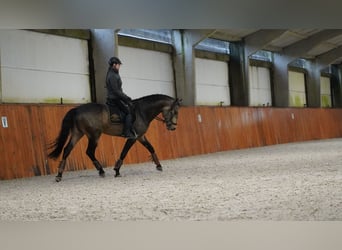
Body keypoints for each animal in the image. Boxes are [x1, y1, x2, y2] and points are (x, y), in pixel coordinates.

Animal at [48, 94, 182, 182]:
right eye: (175, 112)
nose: (173, 127)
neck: (142, 111)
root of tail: (76, 109)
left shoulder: (140, 137)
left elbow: (151, 148)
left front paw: (158, 165)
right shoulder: (133, 138)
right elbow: (124, 152)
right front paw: (117, 171)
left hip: (77, 134)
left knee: (67, 150)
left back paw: (59, 175)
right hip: (94, 135)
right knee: (89, 151)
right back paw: (101, 171)